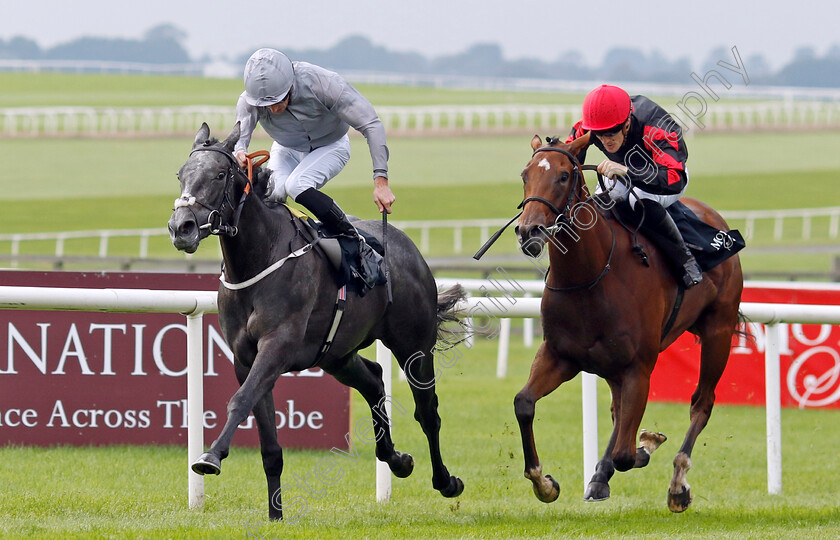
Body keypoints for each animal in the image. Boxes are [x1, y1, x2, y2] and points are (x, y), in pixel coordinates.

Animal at [164, 123, 466, 524]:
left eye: (219, 174)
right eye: (181, 175)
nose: (180, 227)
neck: (259, 259)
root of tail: (407, 246)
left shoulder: (277, 346)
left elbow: (239, 401)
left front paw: (210, 456)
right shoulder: (246, 359)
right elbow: (268, 442)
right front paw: (275, 515)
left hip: (413, 344)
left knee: (427, 411)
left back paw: (446, 481)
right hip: (336, 354)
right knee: (373, 380)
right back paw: (397, 459)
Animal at [512, 133, 740, 512]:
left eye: (563, 176)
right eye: (525, 174)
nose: (529, 230)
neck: (591, 276)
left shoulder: (639, 367)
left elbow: (625, 453)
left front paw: (647, 444)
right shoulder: (560, 356)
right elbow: (524, 403)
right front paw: (544, 483)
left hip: (718, 332)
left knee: (701, 403)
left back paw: (677, 483)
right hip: (612, 367)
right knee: (619, 412)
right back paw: (601, 477)